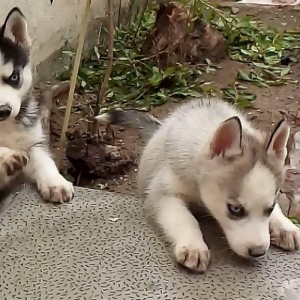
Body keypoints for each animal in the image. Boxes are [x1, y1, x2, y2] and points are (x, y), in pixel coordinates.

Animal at [0, 7, 74, 204]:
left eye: (14, 77)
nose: (3, 111)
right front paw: (7, 156)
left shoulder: (33, 140)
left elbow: (43, 160)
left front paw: (55, 182)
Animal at [96, 99, 300, 274]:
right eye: (235, 209)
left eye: (270, 208)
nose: (258, 251)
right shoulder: (162, 193)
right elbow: (184, 218)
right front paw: (193, 247)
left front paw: (285, 226)